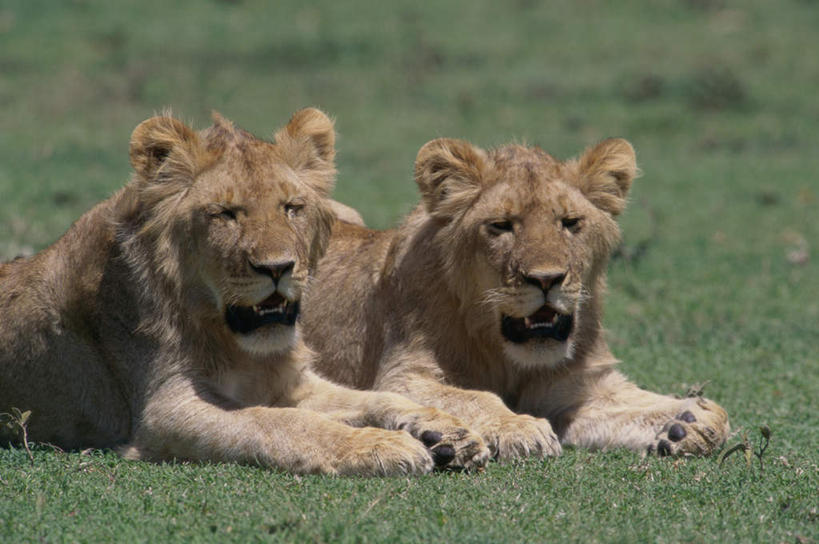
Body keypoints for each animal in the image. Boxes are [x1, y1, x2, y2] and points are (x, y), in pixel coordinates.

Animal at [0, 108, 494, 474]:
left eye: (292, 208)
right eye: (226, 214)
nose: (277, 268)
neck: (235, 342)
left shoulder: (292, 382)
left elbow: (376, 397)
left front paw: (447, 432)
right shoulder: (167, 410)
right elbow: (282, 423)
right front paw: (381, 446)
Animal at [302, 137, 732, 460]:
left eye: (570, 223)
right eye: (501, 225)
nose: (546, 279)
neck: (509, 356)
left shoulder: (581, 390)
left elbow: (693, 408)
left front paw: (689, 423)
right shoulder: (402, 375)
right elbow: (477, 397)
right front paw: (518, 427)